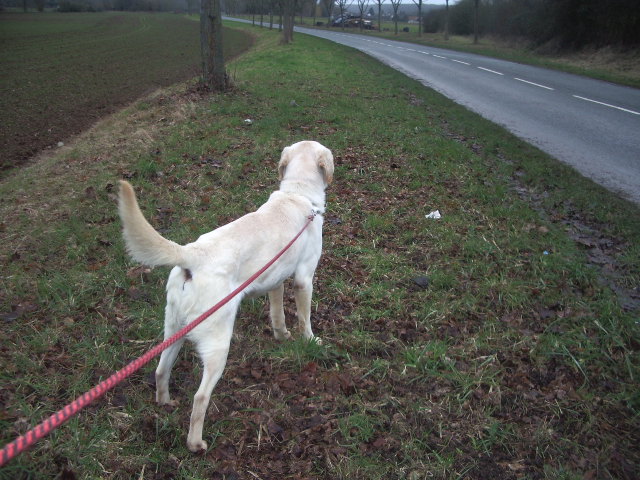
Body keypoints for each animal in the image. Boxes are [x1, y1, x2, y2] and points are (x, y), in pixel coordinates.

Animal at [117, 141, 332, 452]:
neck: (297, 194)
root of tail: (191, 254)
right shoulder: (304, 279)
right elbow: (305, 319)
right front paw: (310, 341)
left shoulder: (275, 281)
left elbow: (278, 315)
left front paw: (282, 336)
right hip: (217, 344)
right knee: (200, 398)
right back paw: (196, 444)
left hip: (174, 329)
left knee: (160, 371)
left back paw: (165, 403)